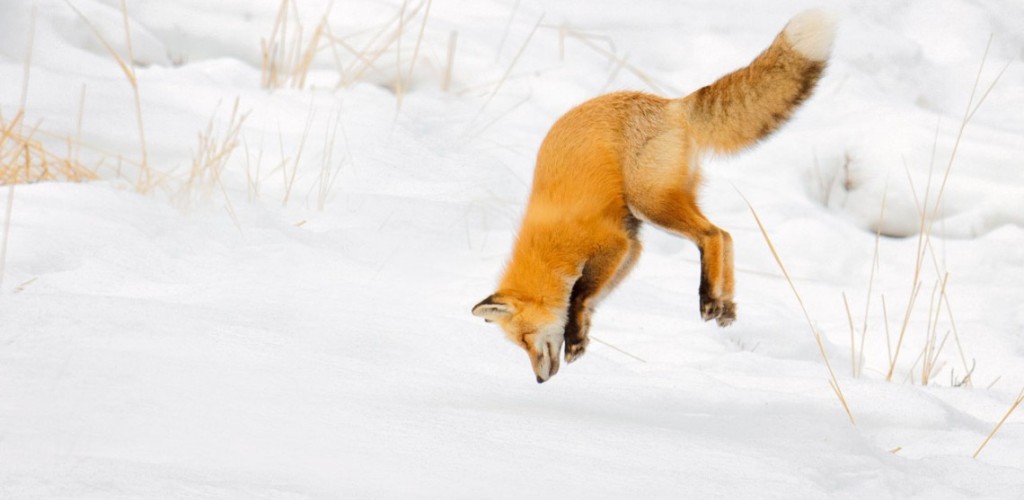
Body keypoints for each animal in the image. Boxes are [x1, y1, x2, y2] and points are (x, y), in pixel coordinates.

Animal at [472, 9, 837, 383]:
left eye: (525, 338)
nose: (539, 379)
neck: (548, 248)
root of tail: (670, 104)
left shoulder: (614, 243)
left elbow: (579, 295)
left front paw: (574, 338)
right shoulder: (631, 249)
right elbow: (588, 300)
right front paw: (580, 337)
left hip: (649, 203)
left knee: (712, 236)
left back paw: (708, 297)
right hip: (663, 204)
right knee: (727, 235)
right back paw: (726, 306)